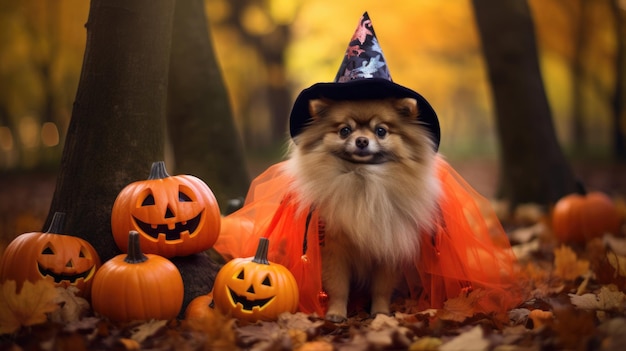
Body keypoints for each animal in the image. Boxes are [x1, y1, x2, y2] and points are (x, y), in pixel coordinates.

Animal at [286, 97, 442, 324]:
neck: (364, 179)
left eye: (381, 131)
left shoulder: (388, 248)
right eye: (344, 130)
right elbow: (338, 286)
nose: (361, 141)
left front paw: (381, 312)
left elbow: (381, 288)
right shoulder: (334, 251)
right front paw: (336, 312)